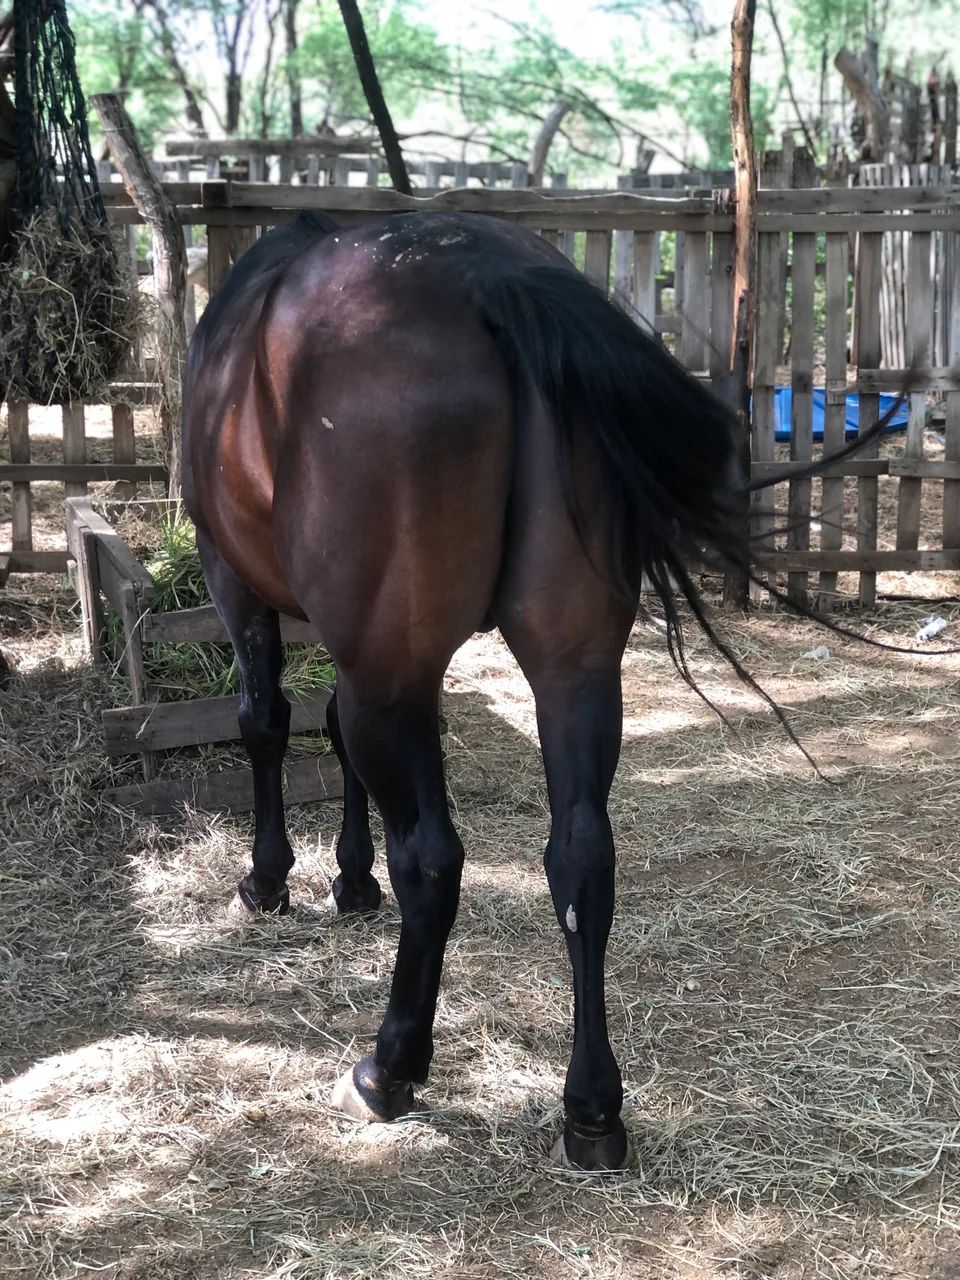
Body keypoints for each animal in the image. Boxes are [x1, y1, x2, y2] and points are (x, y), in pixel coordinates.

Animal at [181, 208, 864, 1171]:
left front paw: (271, 877)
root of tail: (482, 274)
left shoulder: (240, 585)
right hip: (570, 668)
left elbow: (269, 722)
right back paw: (592, 1108)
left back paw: (391, 1065)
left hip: (392, 672)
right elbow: (330, 731)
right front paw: (349, 879)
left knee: (433, 856)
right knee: (582, 857)